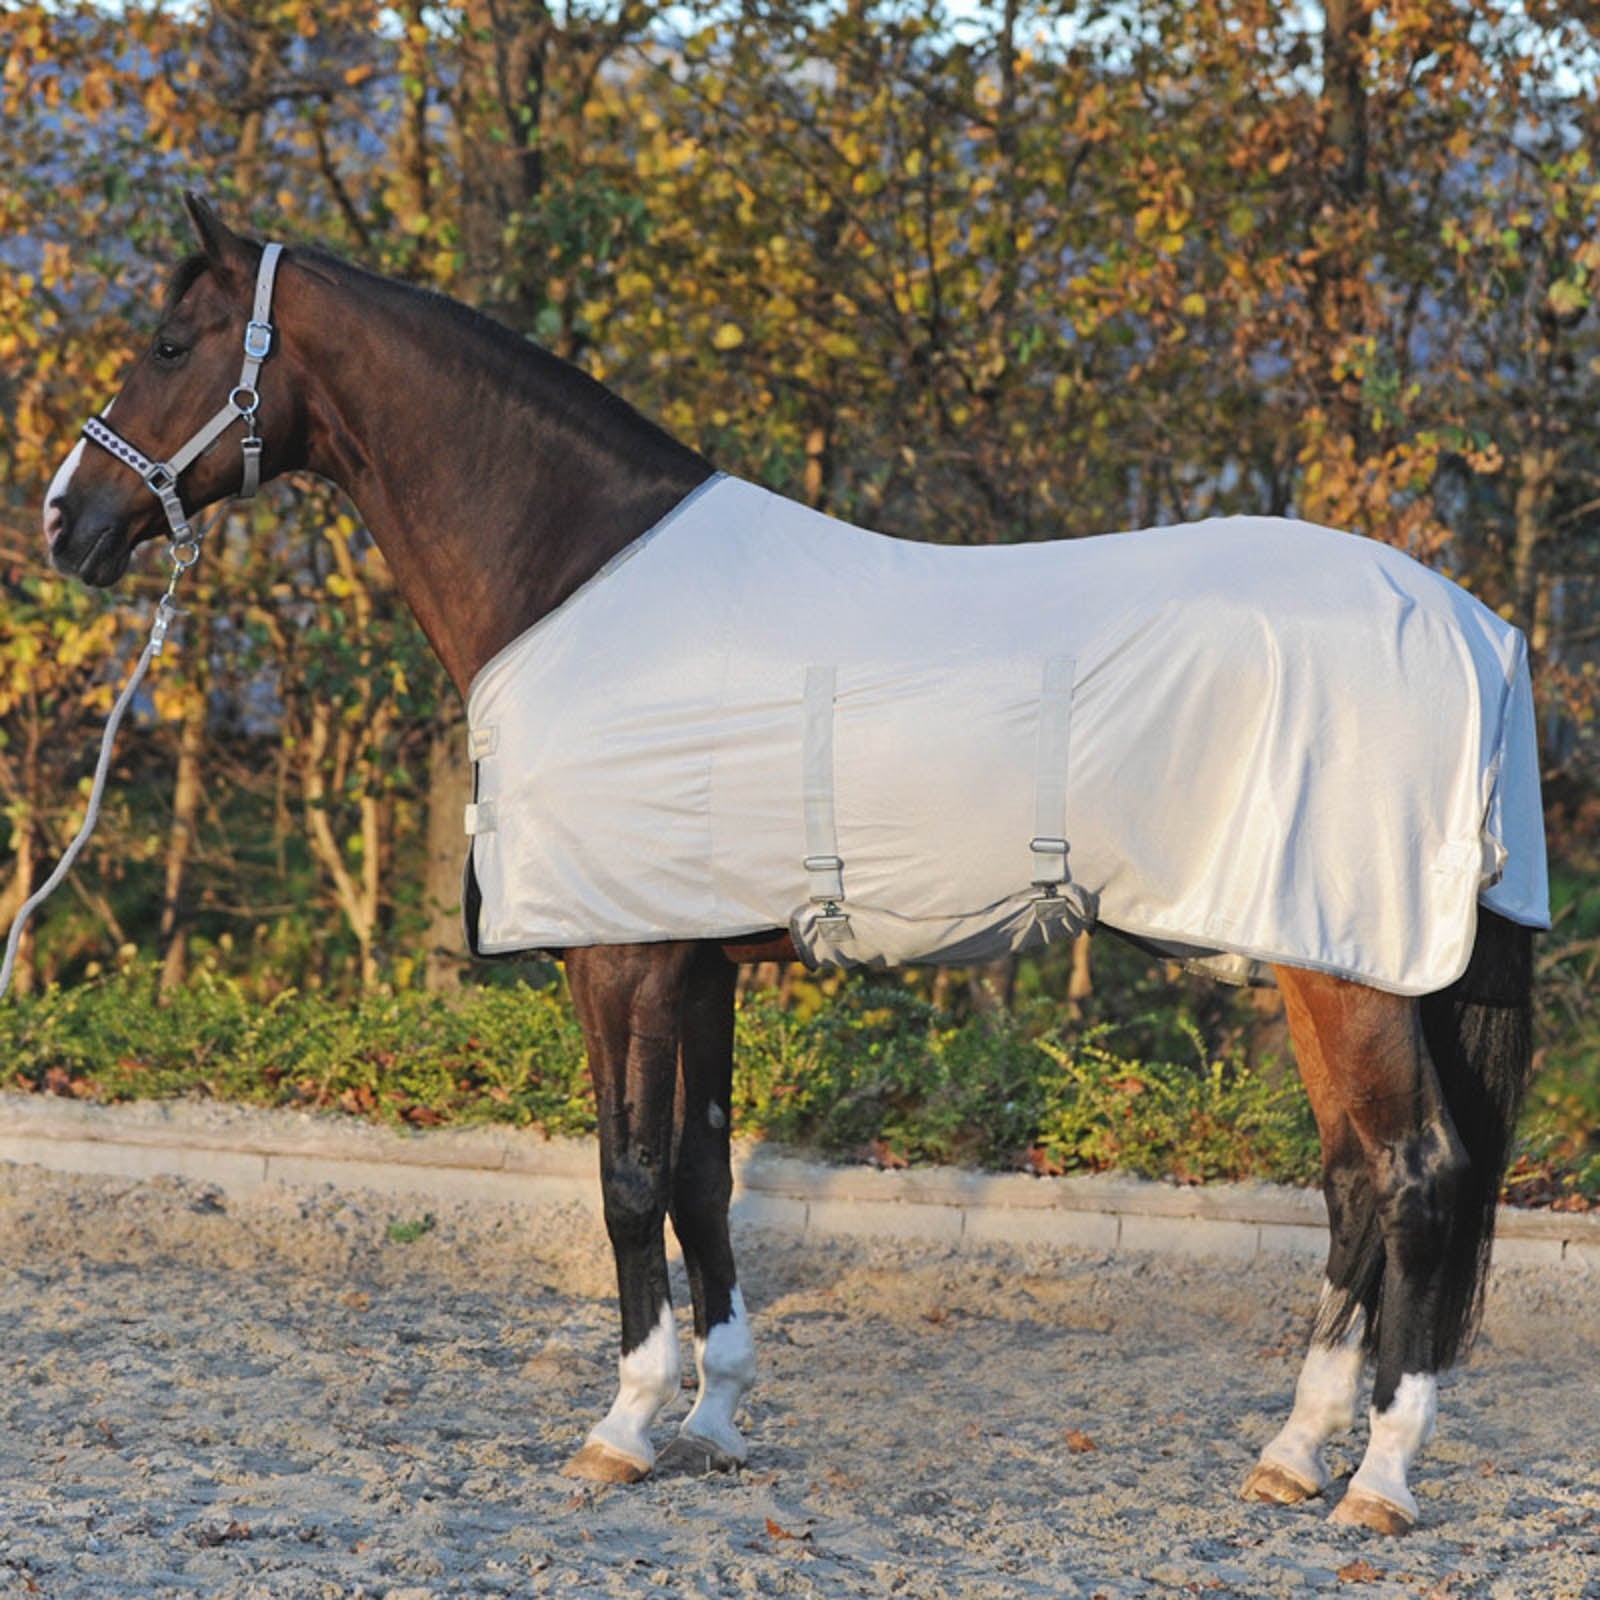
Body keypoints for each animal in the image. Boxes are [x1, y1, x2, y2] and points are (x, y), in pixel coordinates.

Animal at [41, 194, 1546, 1536]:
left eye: (170, 344)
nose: (65, 520)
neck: (576, 577)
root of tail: (1470, 625)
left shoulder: (624, 956)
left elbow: (629, 1174)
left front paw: (623, 1425)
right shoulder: (698, 957)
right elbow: (705, 1172)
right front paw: (713, 1414)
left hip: (1347, 965)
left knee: (1413, 1175)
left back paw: (1378, 1479)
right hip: (1322, 963)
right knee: (1355, 1183)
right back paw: (1292, 1453)